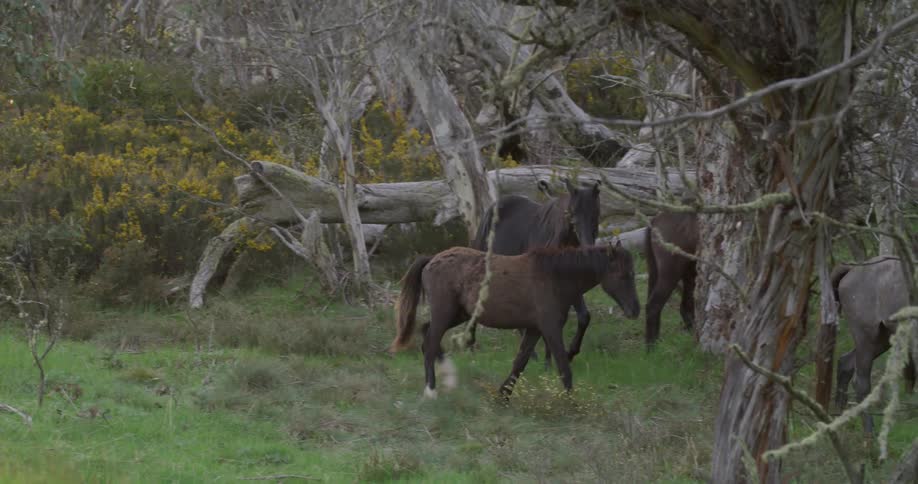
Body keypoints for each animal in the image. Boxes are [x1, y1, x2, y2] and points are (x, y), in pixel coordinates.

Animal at [389, 243, 640, 399]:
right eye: (622, 275)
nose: (635, 311)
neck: (554, 277)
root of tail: (432, 259)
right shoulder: (550, 329)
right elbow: (563, 366)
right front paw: (573, 404)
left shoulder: (535, 329)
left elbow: (520, 362)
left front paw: (503, 396)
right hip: (445, 312)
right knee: (430, 343)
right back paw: (431, 391)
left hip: (458, 314)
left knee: (426, 335)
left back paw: (449, 379)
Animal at [471, 178, 604, 365]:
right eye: (572, 215)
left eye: (595, 214)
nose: (587, 248)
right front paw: (550, 361)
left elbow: (583, 317)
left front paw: (568, 354)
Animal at [644, 212, 698, 350]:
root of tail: (654, 220)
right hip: (671, 273)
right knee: (653, 305)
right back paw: (652, 347)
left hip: (682, 271)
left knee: (685, 307)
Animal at [832, 256, 915, 434]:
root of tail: (853, 269)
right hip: (866, 338)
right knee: (860, 382)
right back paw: (869, 432)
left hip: (881, 339)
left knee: (845, 363)